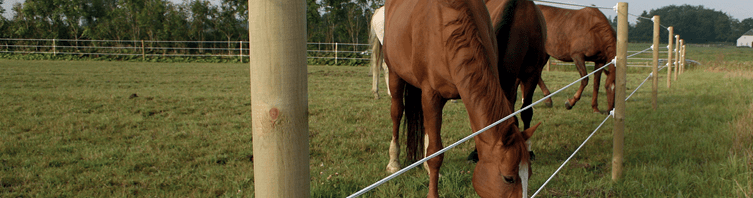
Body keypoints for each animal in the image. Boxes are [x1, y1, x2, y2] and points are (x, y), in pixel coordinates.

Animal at [384, 0, 536, 196]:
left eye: (529, 174)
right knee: (396, 113)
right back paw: (393, 162)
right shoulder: (431, 95)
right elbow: (436, 154)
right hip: (394, 74)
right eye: (508, 178)